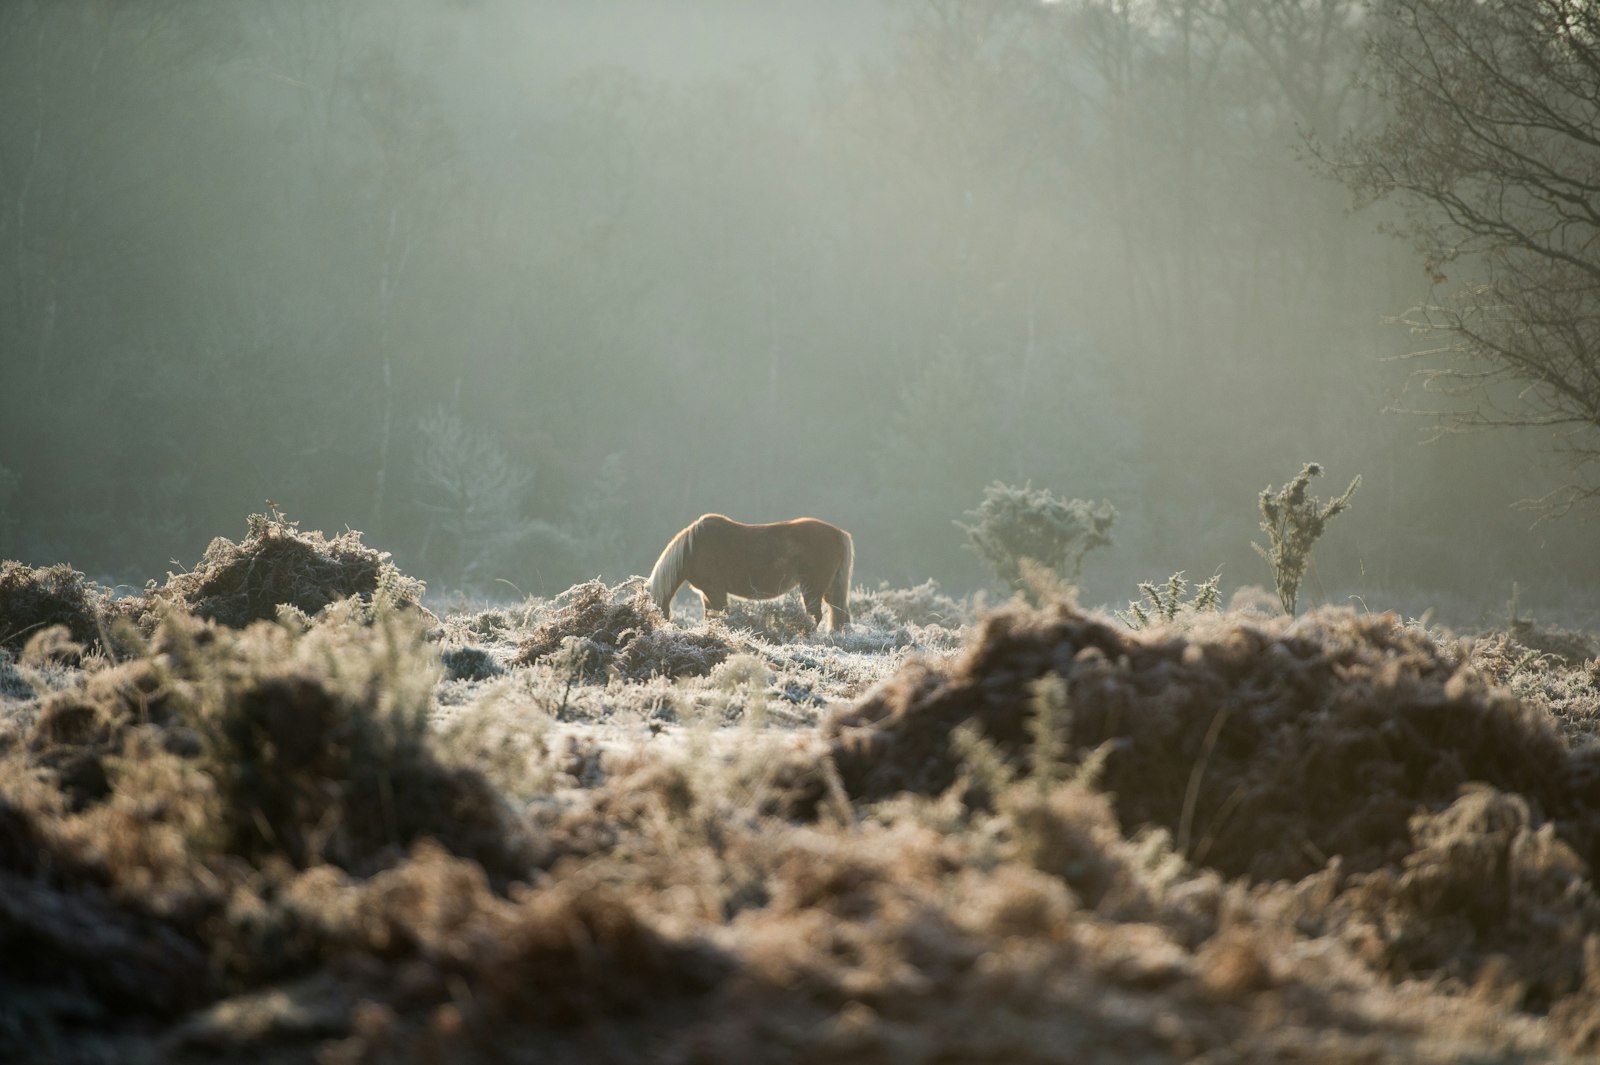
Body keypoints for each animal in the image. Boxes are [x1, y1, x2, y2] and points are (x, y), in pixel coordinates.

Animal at [643, 514, 857, 630]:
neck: (692, 549)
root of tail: (840, 534)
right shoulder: (706, 594)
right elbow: (710, 616)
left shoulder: (716, 591)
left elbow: (722, 615)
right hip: (830, 589)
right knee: (840, 614)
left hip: (812, 589)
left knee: (816, 616)